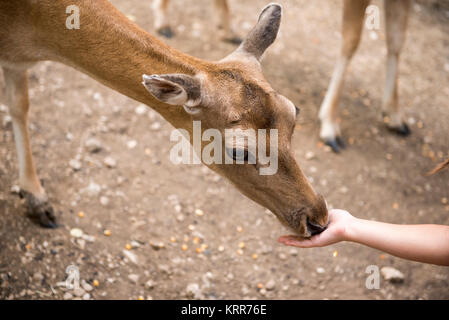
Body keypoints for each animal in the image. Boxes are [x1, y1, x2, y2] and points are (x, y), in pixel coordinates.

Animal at [0, 1, 328, 239]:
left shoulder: (16, 62)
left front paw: (36, 201)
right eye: (238, 151)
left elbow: (20, 105)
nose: (318, 220)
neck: (31, 37)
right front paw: (38, 203)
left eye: (294, 112)